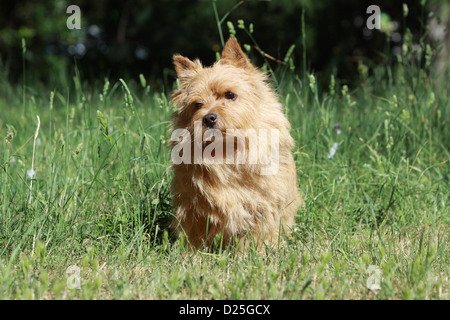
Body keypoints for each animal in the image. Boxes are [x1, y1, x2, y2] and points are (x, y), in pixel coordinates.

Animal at [170, 38, 302, 250]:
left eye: (230, 95)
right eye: (197, 105)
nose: (208, 118)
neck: (227, 151)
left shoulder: (262, 206)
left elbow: (256, 234)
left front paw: (252, 253)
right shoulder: (192, 205)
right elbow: (194, 233)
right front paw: (191, 253)